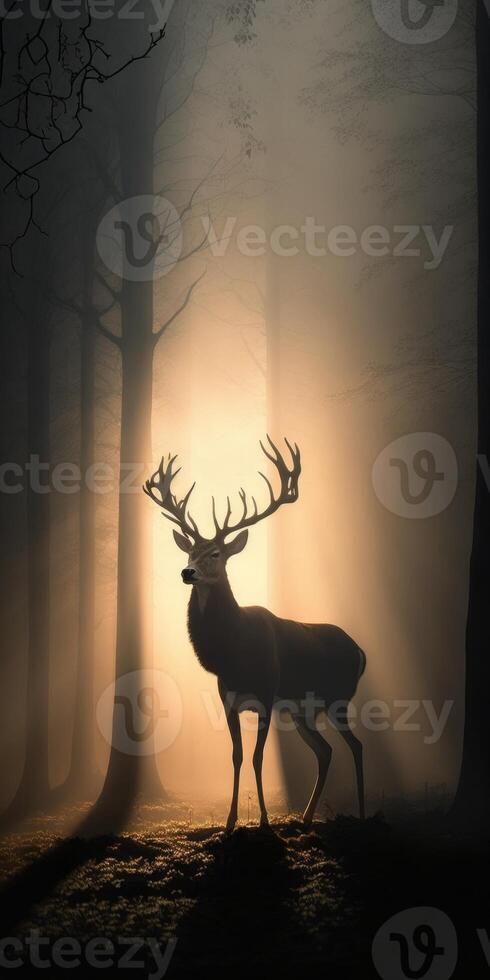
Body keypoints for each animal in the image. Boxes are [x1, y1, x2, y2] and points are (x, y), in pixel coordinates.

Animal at [144, 440, 366, 832]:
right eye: (190, 551)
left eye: (215, 553)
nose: (187, 572)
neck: (233, 654)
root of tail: (360, 653)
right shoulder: (228, 699)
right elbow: (236, 756)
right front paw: (231, 820)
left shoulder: (266, 693)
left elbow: (259, 757)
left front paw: (263, 819)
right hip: (303, 710)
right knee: (326, 751)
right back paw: (306, 817)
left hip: (338, 698)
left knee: (356, 747)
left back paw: (364, 812)